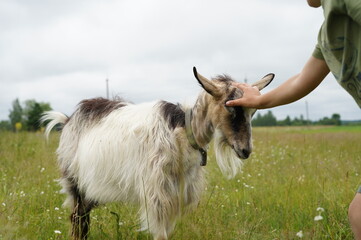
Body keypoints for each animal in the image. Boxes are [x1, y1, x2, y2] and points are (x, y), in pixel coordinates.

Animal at [41, 67, 272, 240]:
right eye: (229, 106)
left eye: (253, 111)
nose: (245, 150)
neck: (183, 133)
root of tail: (67, 119)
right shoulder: (157, 192)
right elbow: (160, 234)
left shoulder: (176, 191)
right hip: (73, 179)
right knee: (77, 218)